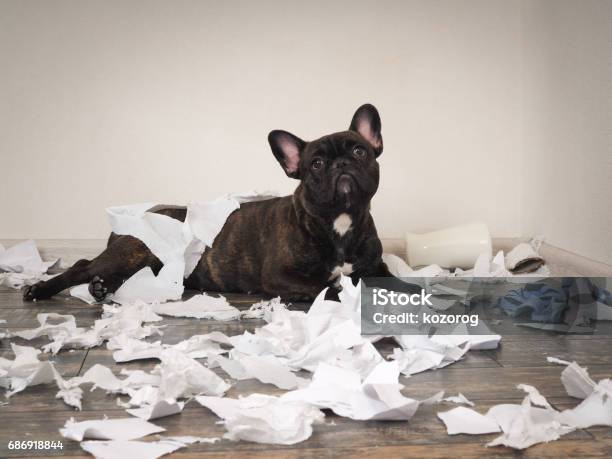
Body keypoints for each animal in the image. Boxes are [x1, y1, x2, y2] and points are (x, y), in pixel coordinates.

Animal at [23, 103, 392, 302]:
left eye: (359, 150)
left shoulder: (375, 267)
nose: (341, 164)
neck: (339, 221)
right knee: (81, 265)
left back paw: (101, 288)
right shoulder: (281, 276)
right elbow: (327, 288)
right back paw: (41, 289)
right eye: (315, 164)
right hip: (132, 252)